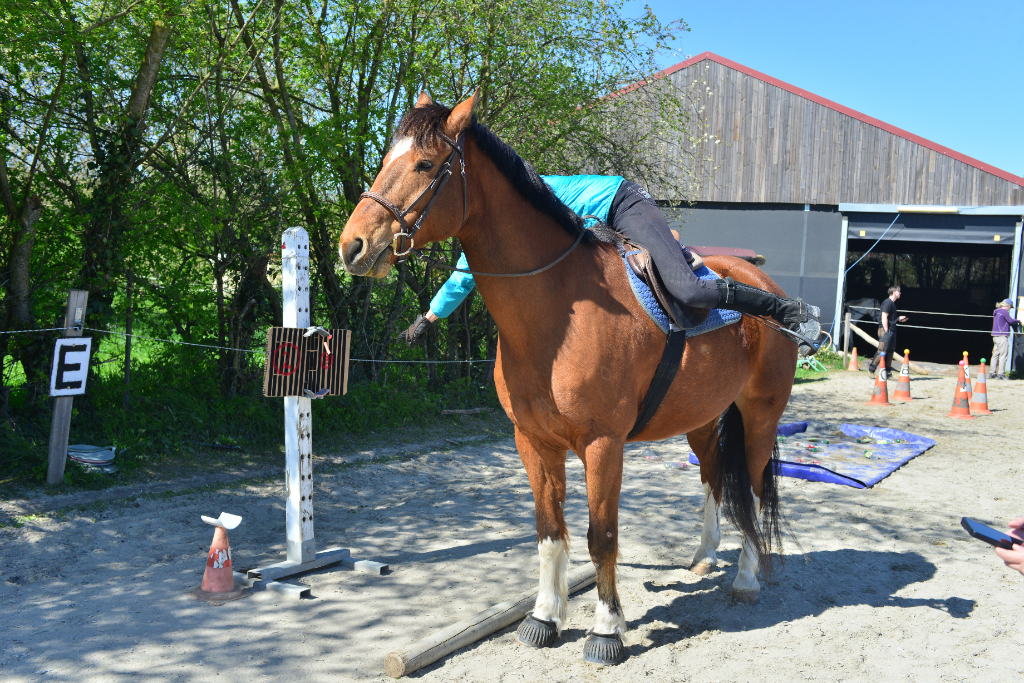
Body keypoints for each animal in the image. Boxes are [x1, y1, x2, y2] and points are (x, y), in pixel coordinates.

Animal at [339, 92, 796, 665]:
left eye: (424, 164)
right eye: (385, 160)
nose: (352, 246)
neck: (557, 312)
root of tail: (762, 280)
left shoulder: (603, 445)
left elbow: (602, 536)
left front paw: (607, 629)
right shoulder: (533, 441)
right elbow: (549, 531)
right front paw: (544, 616)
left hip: (760, 417)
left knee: (753, 490)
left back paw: (747, 577)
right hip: (702, 418)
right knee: (714, 475)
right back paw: (704, 556)